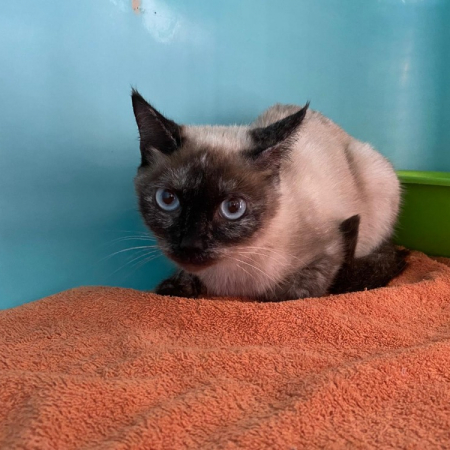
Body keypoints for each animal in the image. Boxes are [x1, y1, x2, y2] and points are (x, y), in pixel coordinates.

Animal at [131, 89, 407, 301]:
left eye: (233, 207)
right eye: (168, 200)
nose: (190, 245)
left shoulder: (331, 247)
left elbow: (291, 293)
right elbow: (175, 285)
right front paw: (178, 284)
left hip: (377, 178)